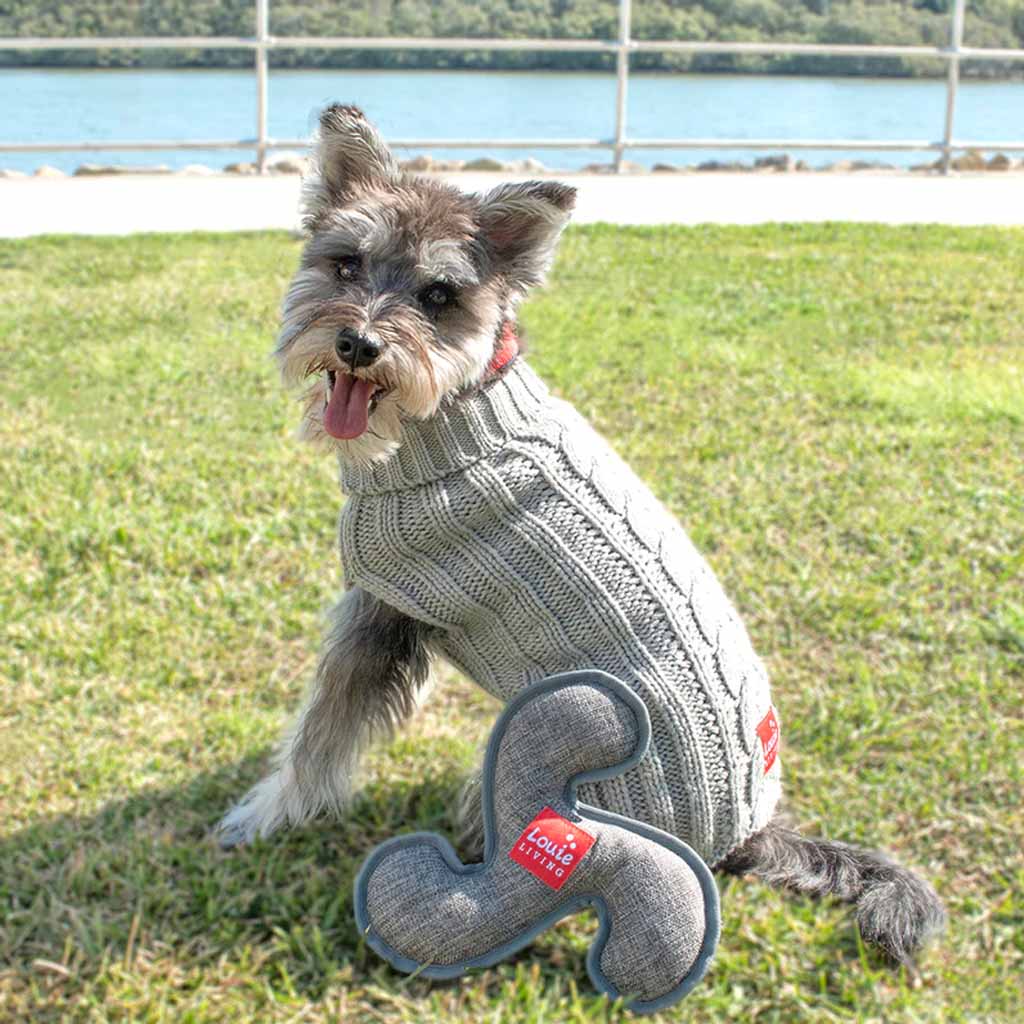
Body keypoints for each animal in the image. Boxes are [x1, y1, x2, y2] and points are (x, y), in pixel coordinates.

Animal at [220, 103, 946, 966]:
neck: (456, 413)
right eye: (345, 264)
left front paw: (262, 816)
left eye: (439, 295)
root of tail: (749, 836)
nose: (358, 343)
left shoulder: (376, 617)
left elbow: (319, 737)